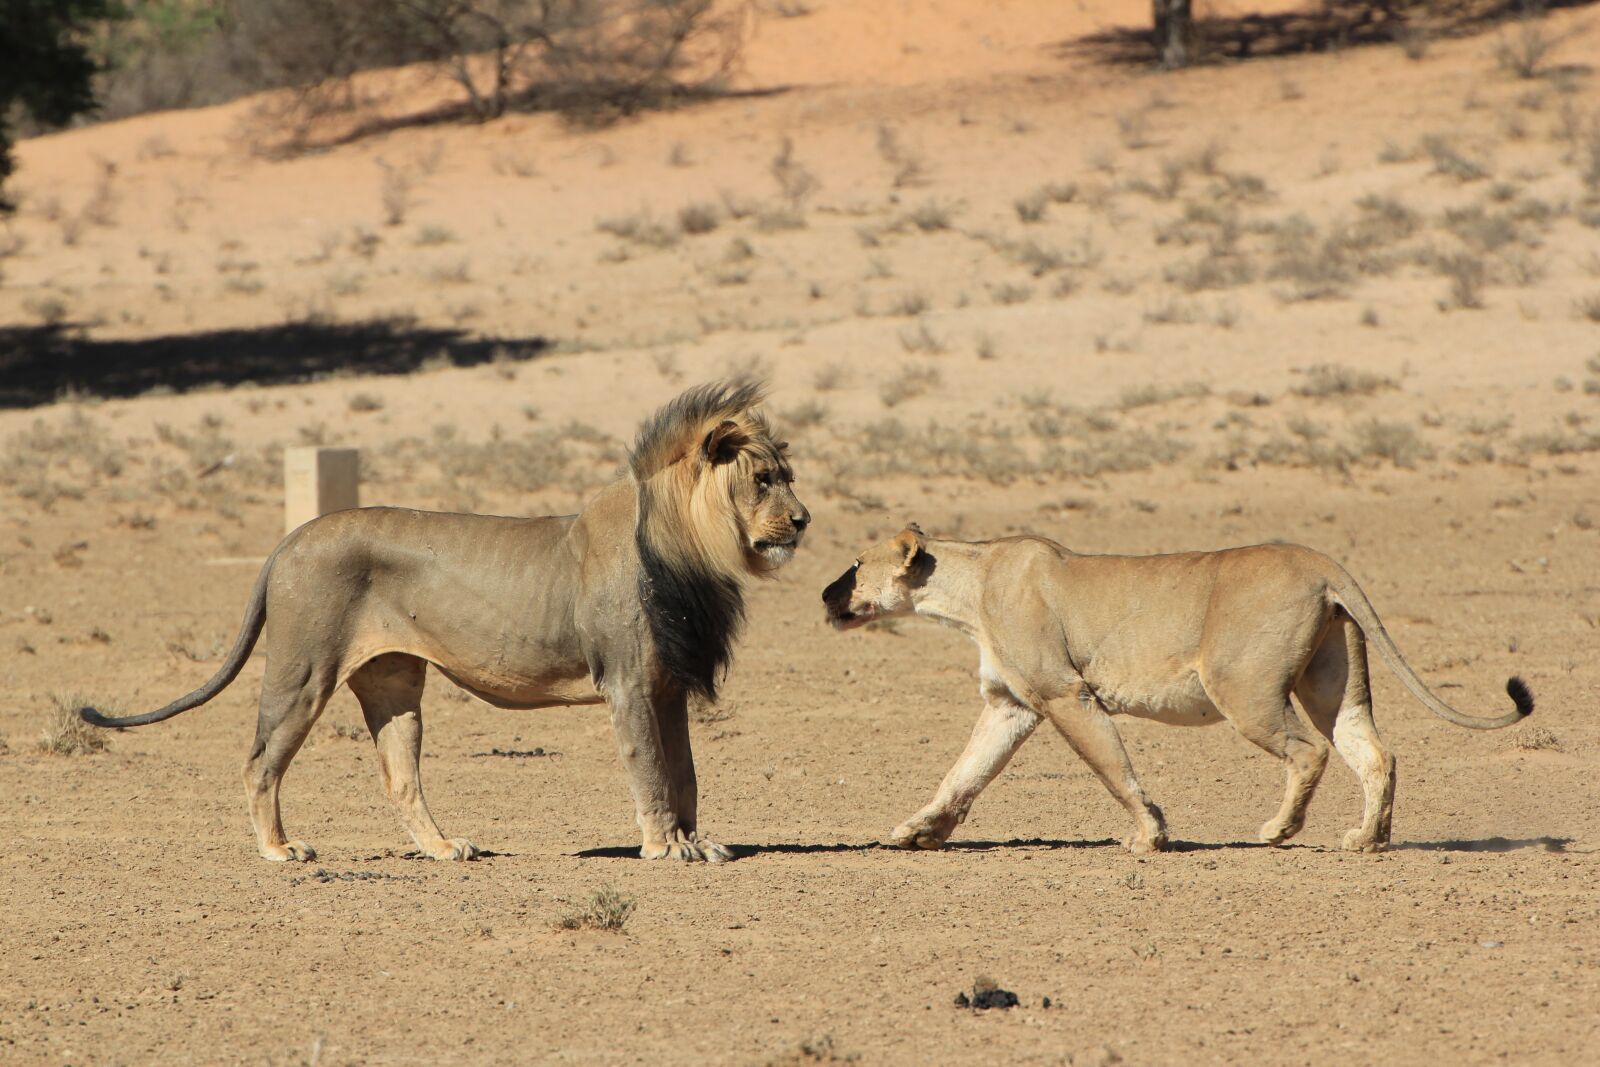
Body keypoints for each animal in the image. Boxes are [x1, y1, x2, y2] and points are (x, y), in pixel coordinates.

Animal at [81, 381, 809, 864]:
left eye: (790, 476)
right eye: (764, 480)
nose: (804, 520)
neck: (689, 547)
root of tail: (291, 538)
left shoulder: (669, 684)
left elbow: (685, 772)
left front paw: (699, 841)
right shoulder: (628, 680)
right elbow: (651, 768)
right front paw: (665, 847)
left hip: (393, 681)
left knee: (400, 776)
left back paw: (442, 847)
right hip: (304, 668)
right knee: (261, 760)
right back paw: (281, 849)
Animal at [822, 526, 1532, 854]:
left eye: (854, 565)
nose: (825, 594)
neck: (967, 590)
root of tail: (1319, 560)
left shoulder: (1064, 694)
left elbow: (1113, 769)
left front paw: (1149, 835)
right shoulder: (1012, 705)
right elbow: (963, 774)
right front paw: (919, 831)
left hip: (1243, 688)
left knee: (1309, 752)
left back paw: (1278, 830)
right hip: (1334, 687)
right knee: (1376, 753)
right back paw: (1367, 839)